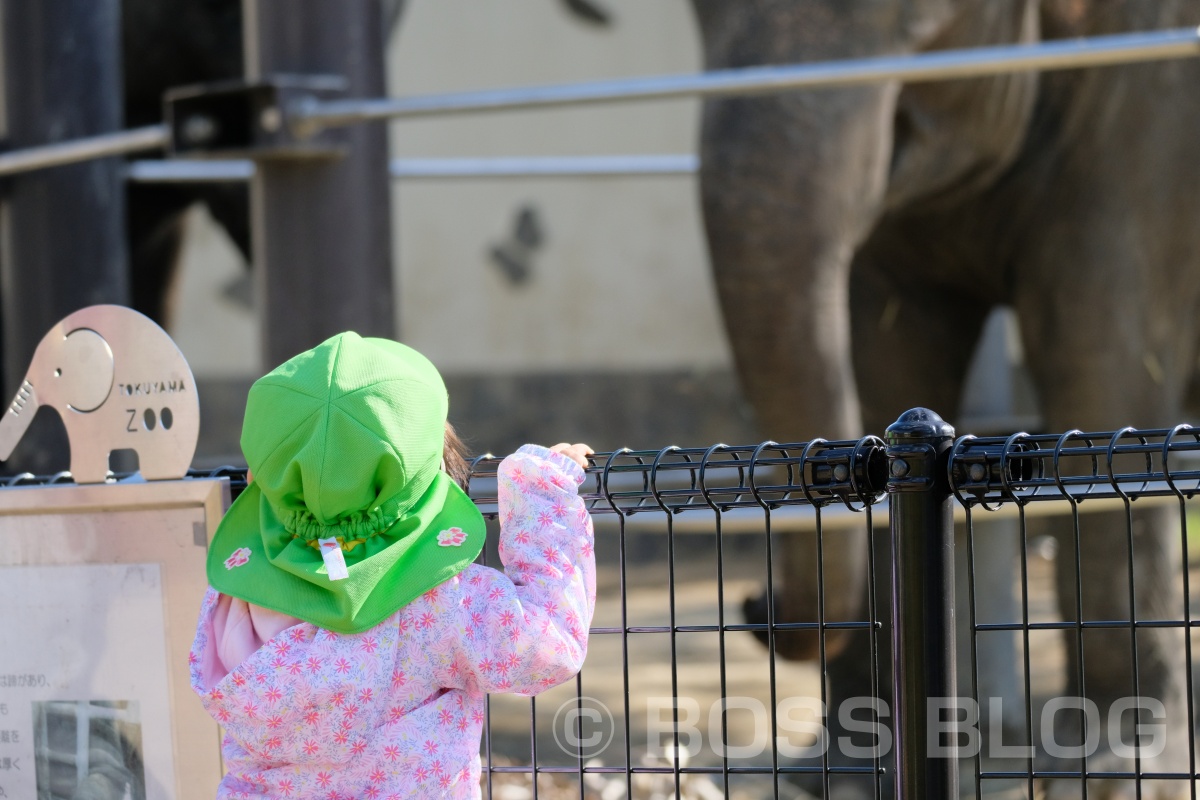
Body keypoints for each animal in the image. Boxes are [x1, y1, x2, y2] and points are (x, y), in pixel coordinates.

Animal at [691, 0, 1200, 796]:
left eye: (920, 22)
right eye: (696, 18)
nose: (751, 600)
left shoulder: (1149, 108)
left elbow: (1099, 356)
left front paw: (1118, 772)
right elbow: (884, 352)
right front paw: (838, 774)